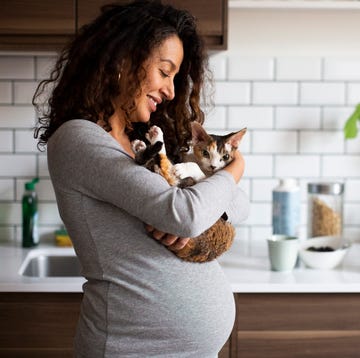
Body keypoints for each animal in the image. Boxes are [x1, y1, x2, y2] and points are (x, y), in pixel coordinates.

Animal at [131, 121, 246, 262]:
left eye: (225, 156)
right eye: (205, 153)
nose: (213, 166)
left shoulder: (206, 181)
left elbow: (197, 172)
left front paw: (184, 169)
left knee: (168, 172)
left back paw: (152, 140)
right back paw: (145, 144)